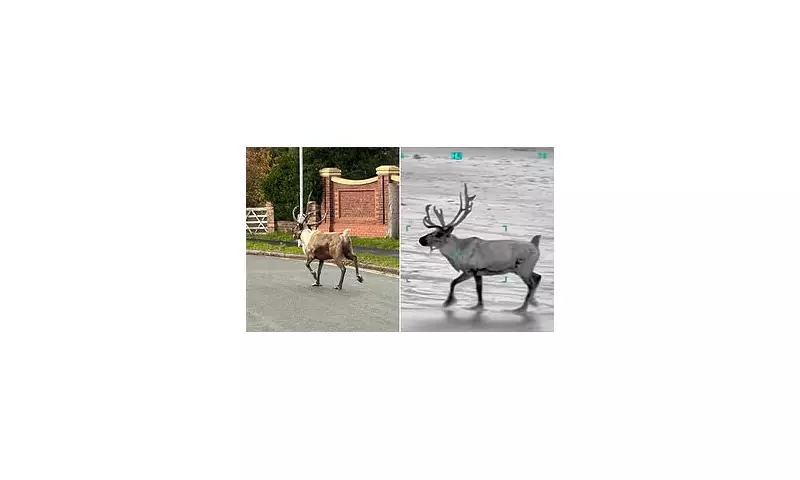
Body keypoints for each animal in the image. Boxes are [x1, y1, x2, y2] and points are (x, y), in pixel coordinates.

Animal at [418, 184, 542, 312]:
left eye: (438, 234)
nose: (420, 240)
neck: (458, 252)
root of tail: (535, 245)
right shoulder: (470, 272)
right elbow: (455, 283)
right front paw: (450, 302)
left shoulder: (474, 270)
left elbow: (476, 289)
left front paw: (475, 306)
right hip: (522, 269)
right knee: (538, 276)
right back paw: (533, 302)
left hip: (523, 269)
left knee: (531, 284)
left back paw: (522, 308)